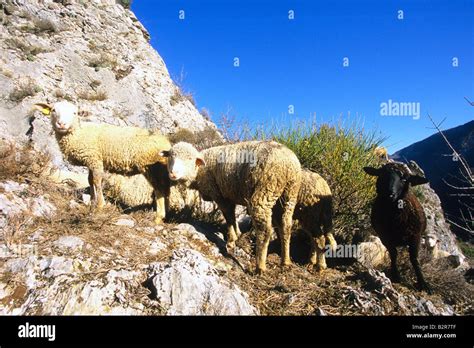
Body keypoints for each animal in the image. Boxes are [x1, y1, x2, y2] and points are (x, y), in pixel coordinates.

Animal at [34, 100, 172, 223]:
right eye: (53, 110)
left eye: (75, 113)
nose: (61, 124)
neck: (78, 133)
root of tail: (166, 143)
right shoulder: (91, 160)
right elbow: (90, 181)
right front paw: (92, 203)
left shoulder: (95, 159)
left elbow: (97, 181)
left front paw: (100, 205)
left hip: (150, 167)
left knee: (159, 188)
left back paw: (159, 217)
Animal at [161, 140, 302, 274]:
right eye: (171, 156)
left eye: (189, 158)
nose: (173, 173)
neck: (199, 171)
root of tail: (288, 163)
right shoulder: (229, 194)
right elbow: (232, 216)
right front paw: (237, 234)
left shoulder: (218, 194)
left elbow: (228, 215)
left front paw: (231, 239)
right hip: (289, 194)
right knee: (286, 226)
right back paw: (286, 262)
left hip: (266, 189)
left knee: (264, 230)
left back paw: (260, 266)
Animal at [362, 162, 434, 292]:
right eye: (382, 175)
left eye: (404, 179)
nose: (389, 194)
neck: (396, 218)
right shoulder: (384, 237)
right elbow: (393, 254)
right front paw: (396, 275)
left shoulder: (415, 236)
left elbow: (414, 259)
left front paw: (423, 283)